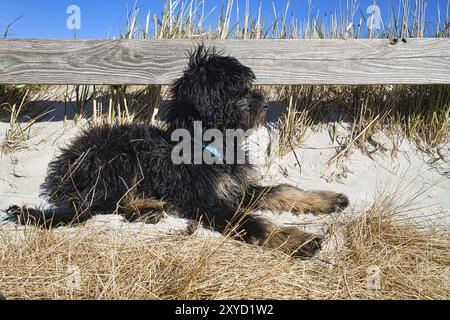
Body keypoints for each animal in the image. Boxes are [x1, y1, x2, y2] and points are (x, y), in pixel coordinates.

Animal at [7, 45, 348, 258]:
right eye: (236, 91)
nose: (264, 105)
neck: (208, 142)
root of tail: (66, 172)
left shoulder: (235, 189)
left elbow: (282, 189)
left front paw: (326, 199)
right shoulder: (210, 203)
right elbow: (255, 223)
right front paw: (299, 240)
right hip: (119, 156)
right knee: (111, 202)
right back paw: (147, 207)